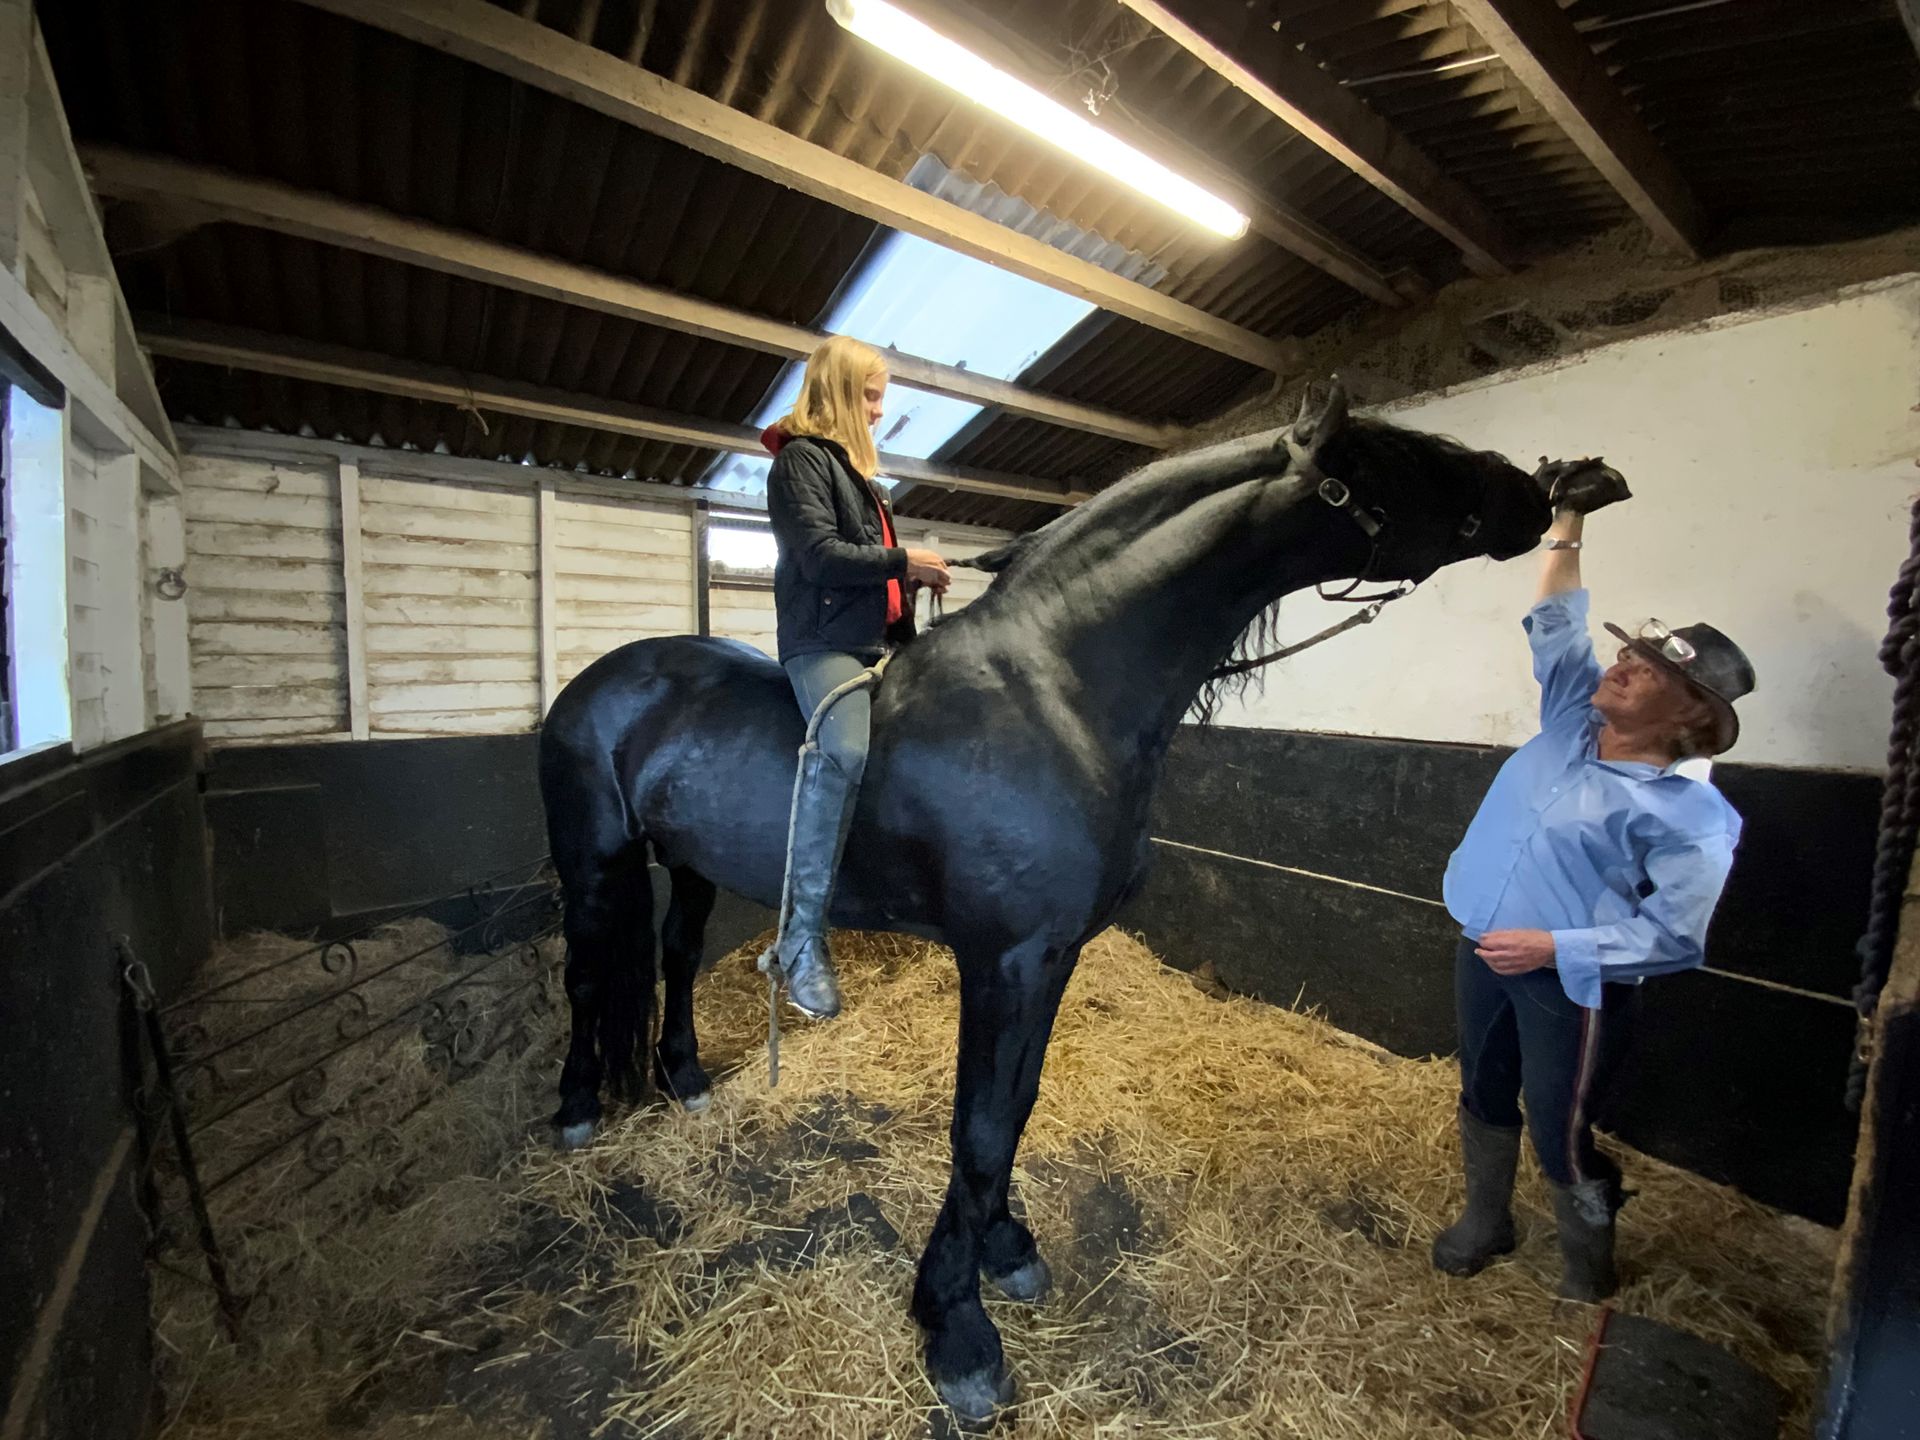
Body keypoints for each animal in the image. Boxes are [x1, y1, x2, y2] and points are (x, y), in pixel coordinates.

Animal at [537, 381, 1559, 1423]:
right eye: (1401, 456)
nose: (1542, 490)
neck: (1057, 695)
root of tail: (601, 678)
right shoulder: (1007, 960)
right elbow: (980, 1127)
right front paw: (957, 1328)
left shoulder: (1053, 957)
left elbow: (1016, 1108)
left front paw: (1004, 1250)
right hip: (593, 862)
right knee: (586, 980)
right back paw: (578, 1107)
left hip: (689, 866)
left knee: (673, 956)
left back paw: (686, 1077)